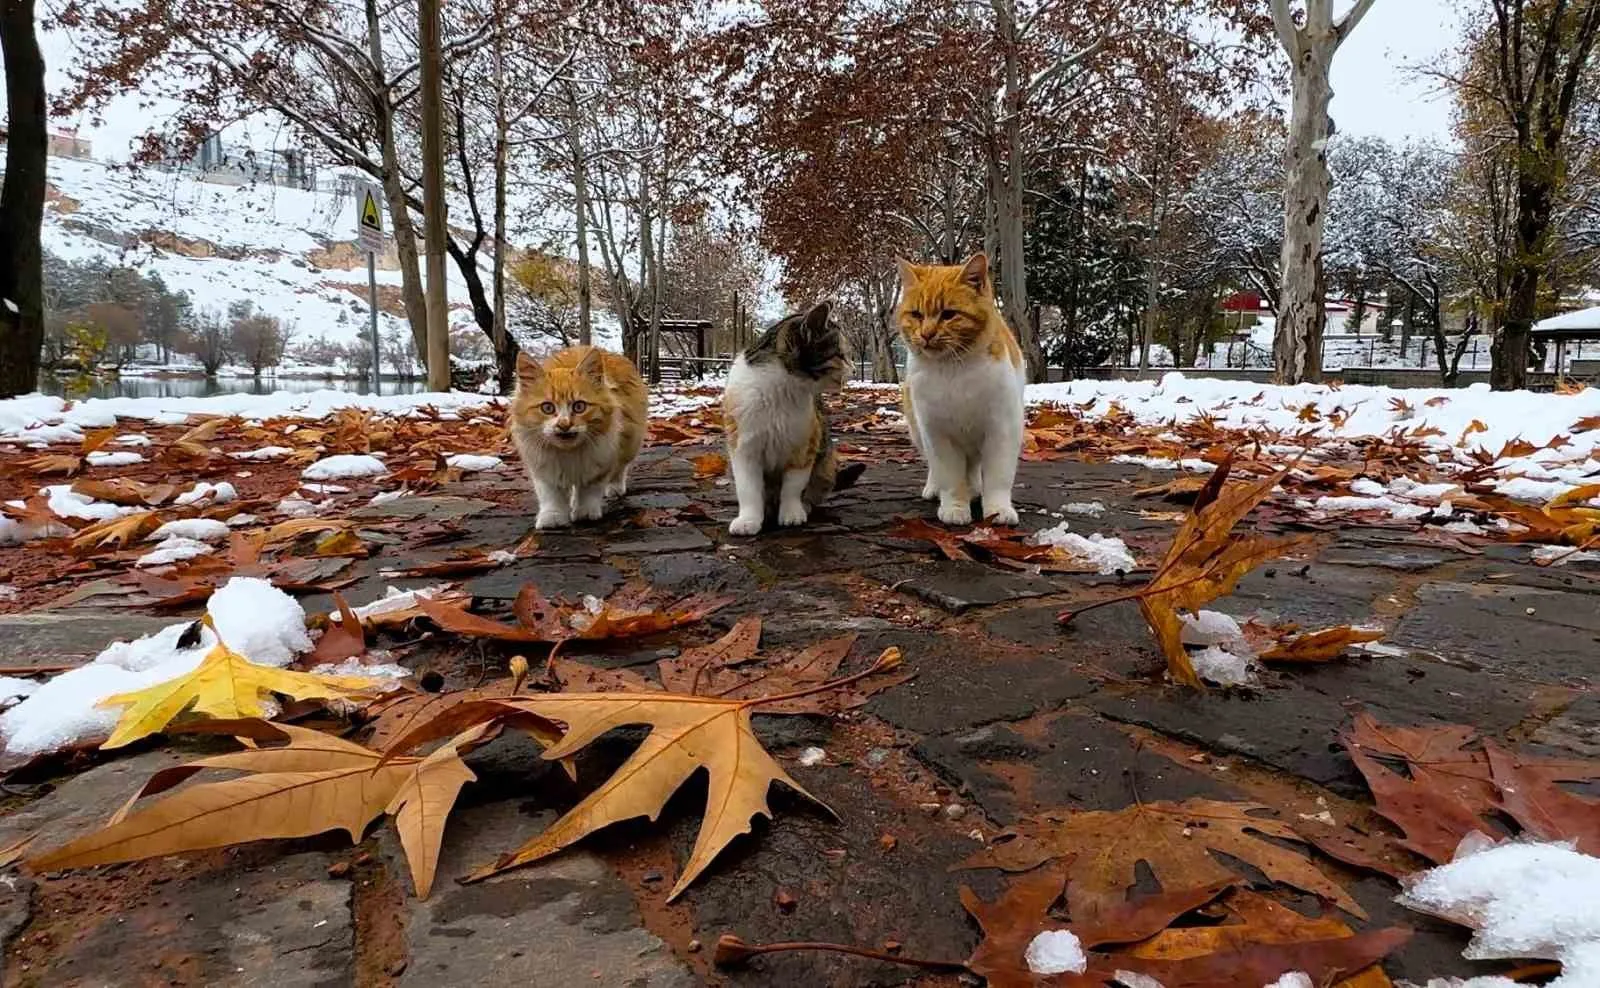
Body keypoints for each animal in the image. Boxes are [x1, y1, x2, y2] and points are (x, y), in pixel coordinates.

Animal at [505, 348, 643, 530]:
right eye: (547, 408)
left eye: (579, 406)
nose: (564, 424)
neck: (568, 453)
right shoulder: (544, 467)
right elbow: (551, 496)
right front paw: (553, 518)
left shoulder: (600, 459)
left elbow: (589, 490)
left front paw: (585, 513)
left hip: (629, 442)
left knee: (620, 469)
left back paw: (615, 488)